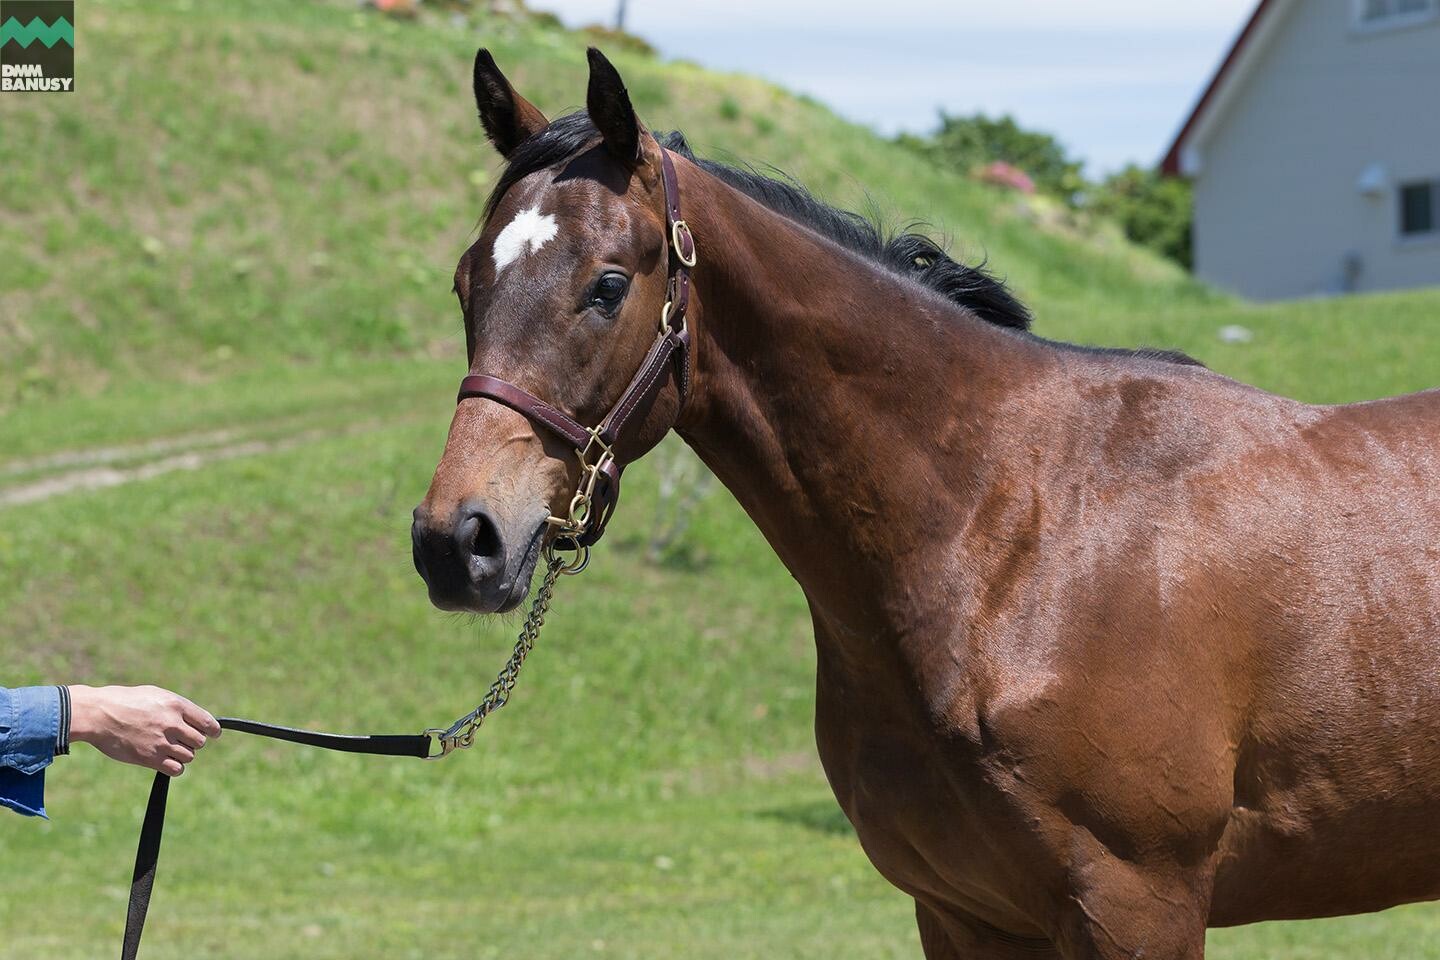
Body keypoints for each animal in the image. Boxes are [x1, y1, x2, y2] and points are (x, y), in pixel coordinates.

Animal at [408, 50, 1440, 960]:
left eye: (609, 286)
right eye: (465, 282)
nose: (458, 542)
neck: (1015, 531)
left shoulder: (1138, 906)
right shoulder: (965, 915)